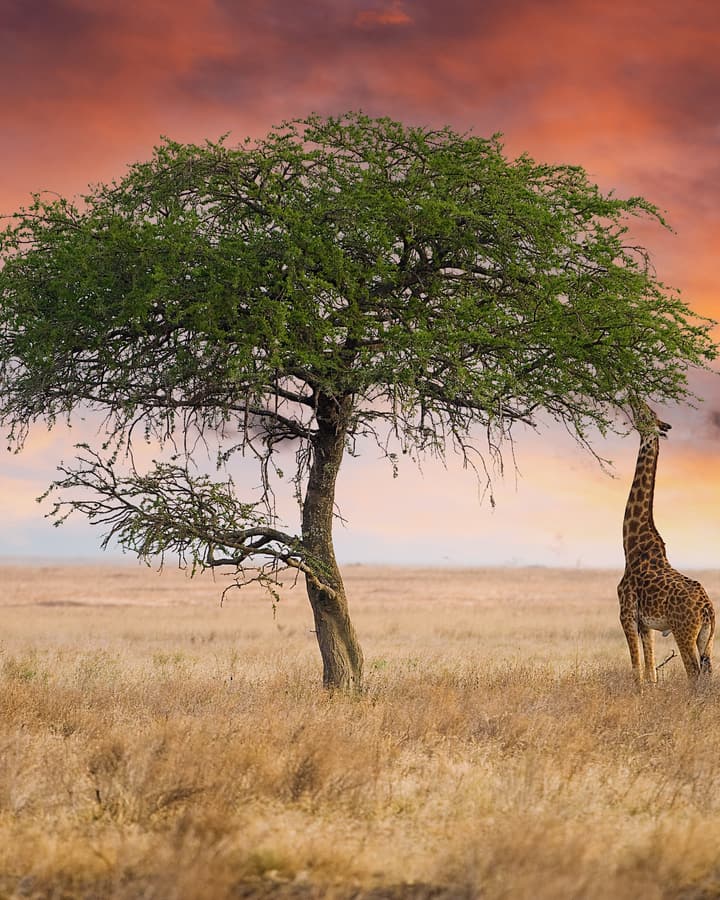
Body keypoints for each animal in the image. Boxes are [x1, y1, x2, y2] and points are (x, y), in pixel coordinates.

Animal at [618, 403, 715, 683]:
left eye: (647, 414)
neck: (631, 546)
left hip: (684, 631)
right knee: (708, 673)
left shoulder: (626, 615)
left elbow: (637, 671)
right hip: (706, 637)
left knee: (694, 673)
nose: (634, 400)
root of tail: (707, 608)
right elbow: (651, 673)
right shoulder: (646, 625)